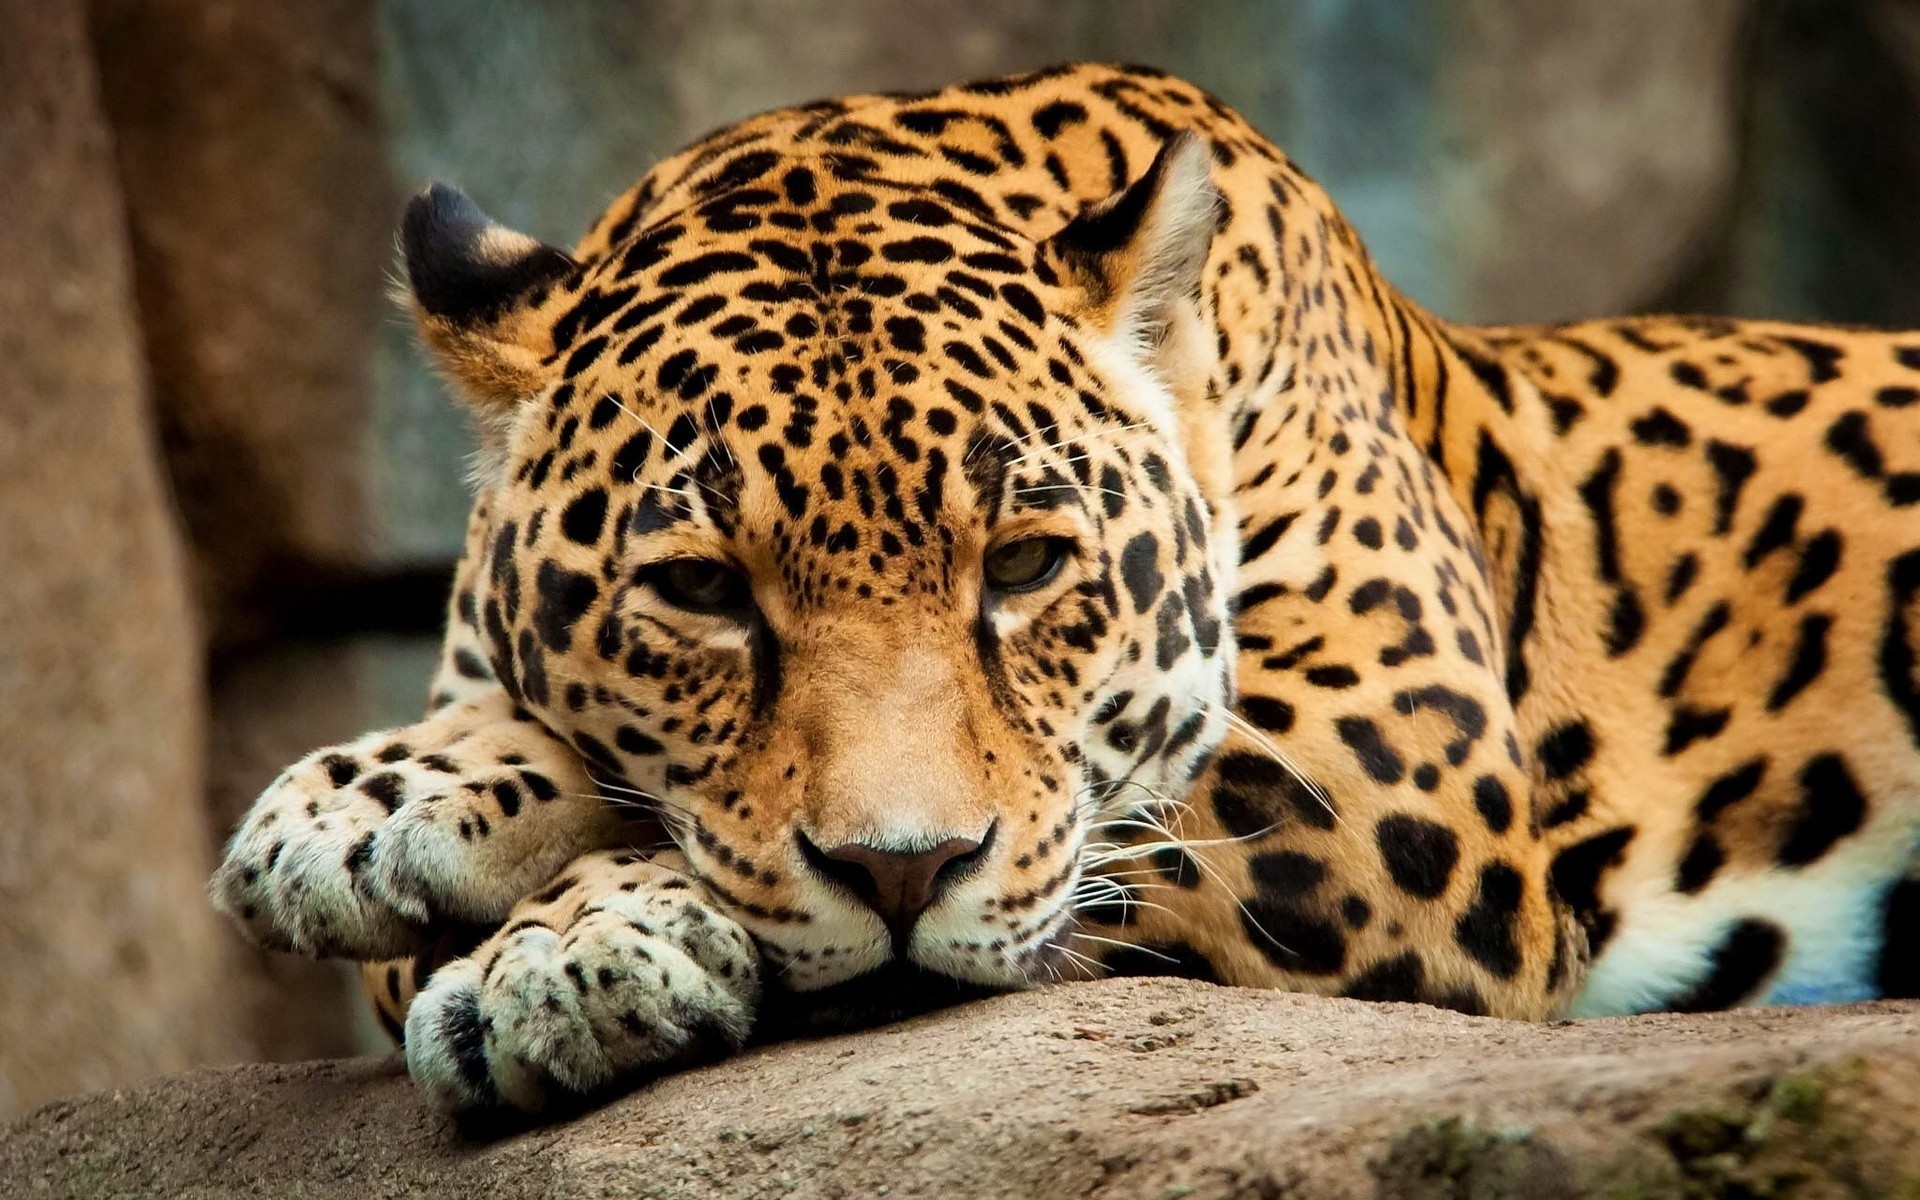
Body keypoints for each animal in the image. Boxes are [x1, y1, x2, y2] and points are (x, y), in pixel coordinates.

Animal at [212, 62, 1920, 1114]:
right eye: (700, 590)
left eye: (1028, 566)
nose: (902, 875)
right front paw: (388, 803)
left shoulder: (1391, 762)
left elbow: (1089, 829)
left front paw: (561, 950)